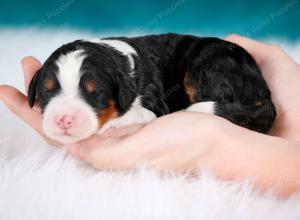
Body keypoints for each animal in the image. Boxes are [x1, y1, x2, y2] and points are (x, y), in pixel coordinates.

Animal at [27, 32, 276, 143]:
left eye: (95, 93)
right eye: (47, 91)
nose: (63, 119)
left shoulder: (154, 104)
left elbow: (136, 112)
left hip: (206, 68)